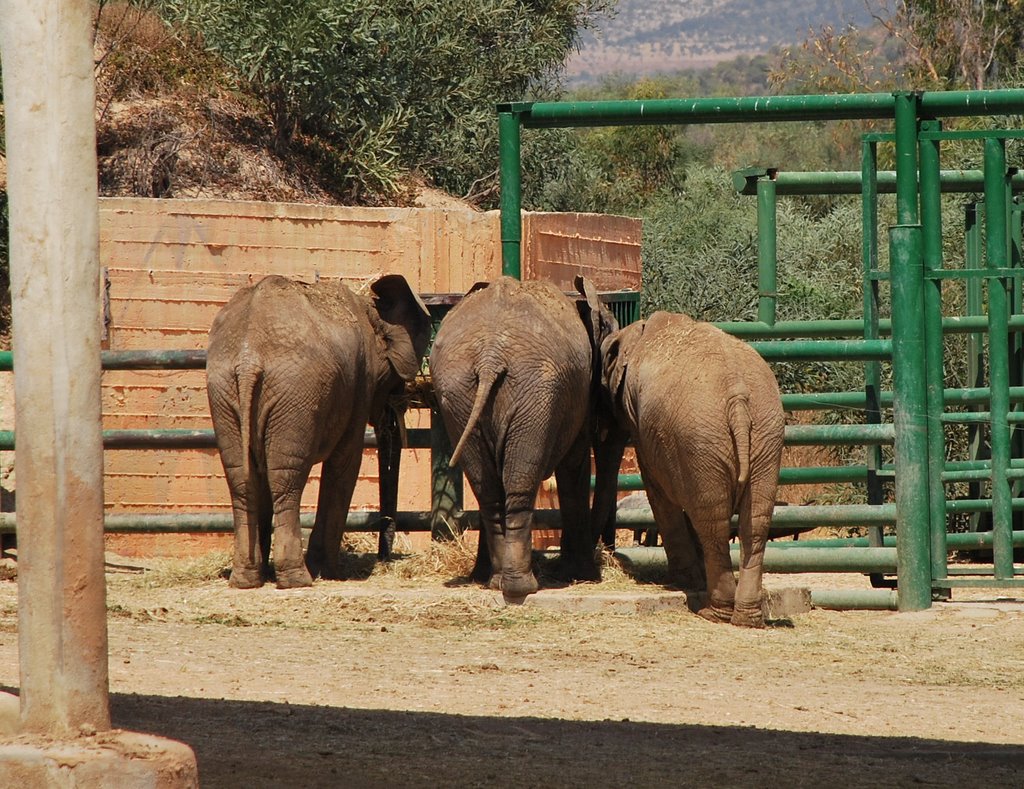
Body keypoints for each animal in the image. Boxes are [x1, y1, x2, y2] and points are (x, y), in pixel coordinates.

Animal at [207, 274, 432, 589]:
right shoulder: (359, 382)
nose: (385, 558)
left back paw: (246, 580)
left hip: (224, 391)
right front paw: (331, 571)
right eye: (393, 385)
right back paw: (297, 579)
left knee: (242, 478)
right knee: (285, 479)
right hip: (293, 393)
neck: (370, 306)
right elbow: (346, 464)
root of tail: (249, 359)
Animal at [428, 274, 618, 601]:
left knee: (490, 490)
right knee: (519, 482)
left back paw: (496, 581)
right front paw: (583, 575)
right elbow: (575, 467)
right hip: (535, 391)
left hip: (459, 393)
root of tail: (490, 354)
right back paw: (521, 587)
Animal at [598, 311, 782, 626]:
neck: (638, 331)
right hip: (765, 435)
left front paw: (682, 581)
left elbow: (659, 494)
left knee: (713, 523)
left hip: (700, 439)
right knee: (755, 522)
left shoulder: (644, 429)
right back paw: (746, 618)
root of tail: (738, 398)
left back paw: (714, 612)